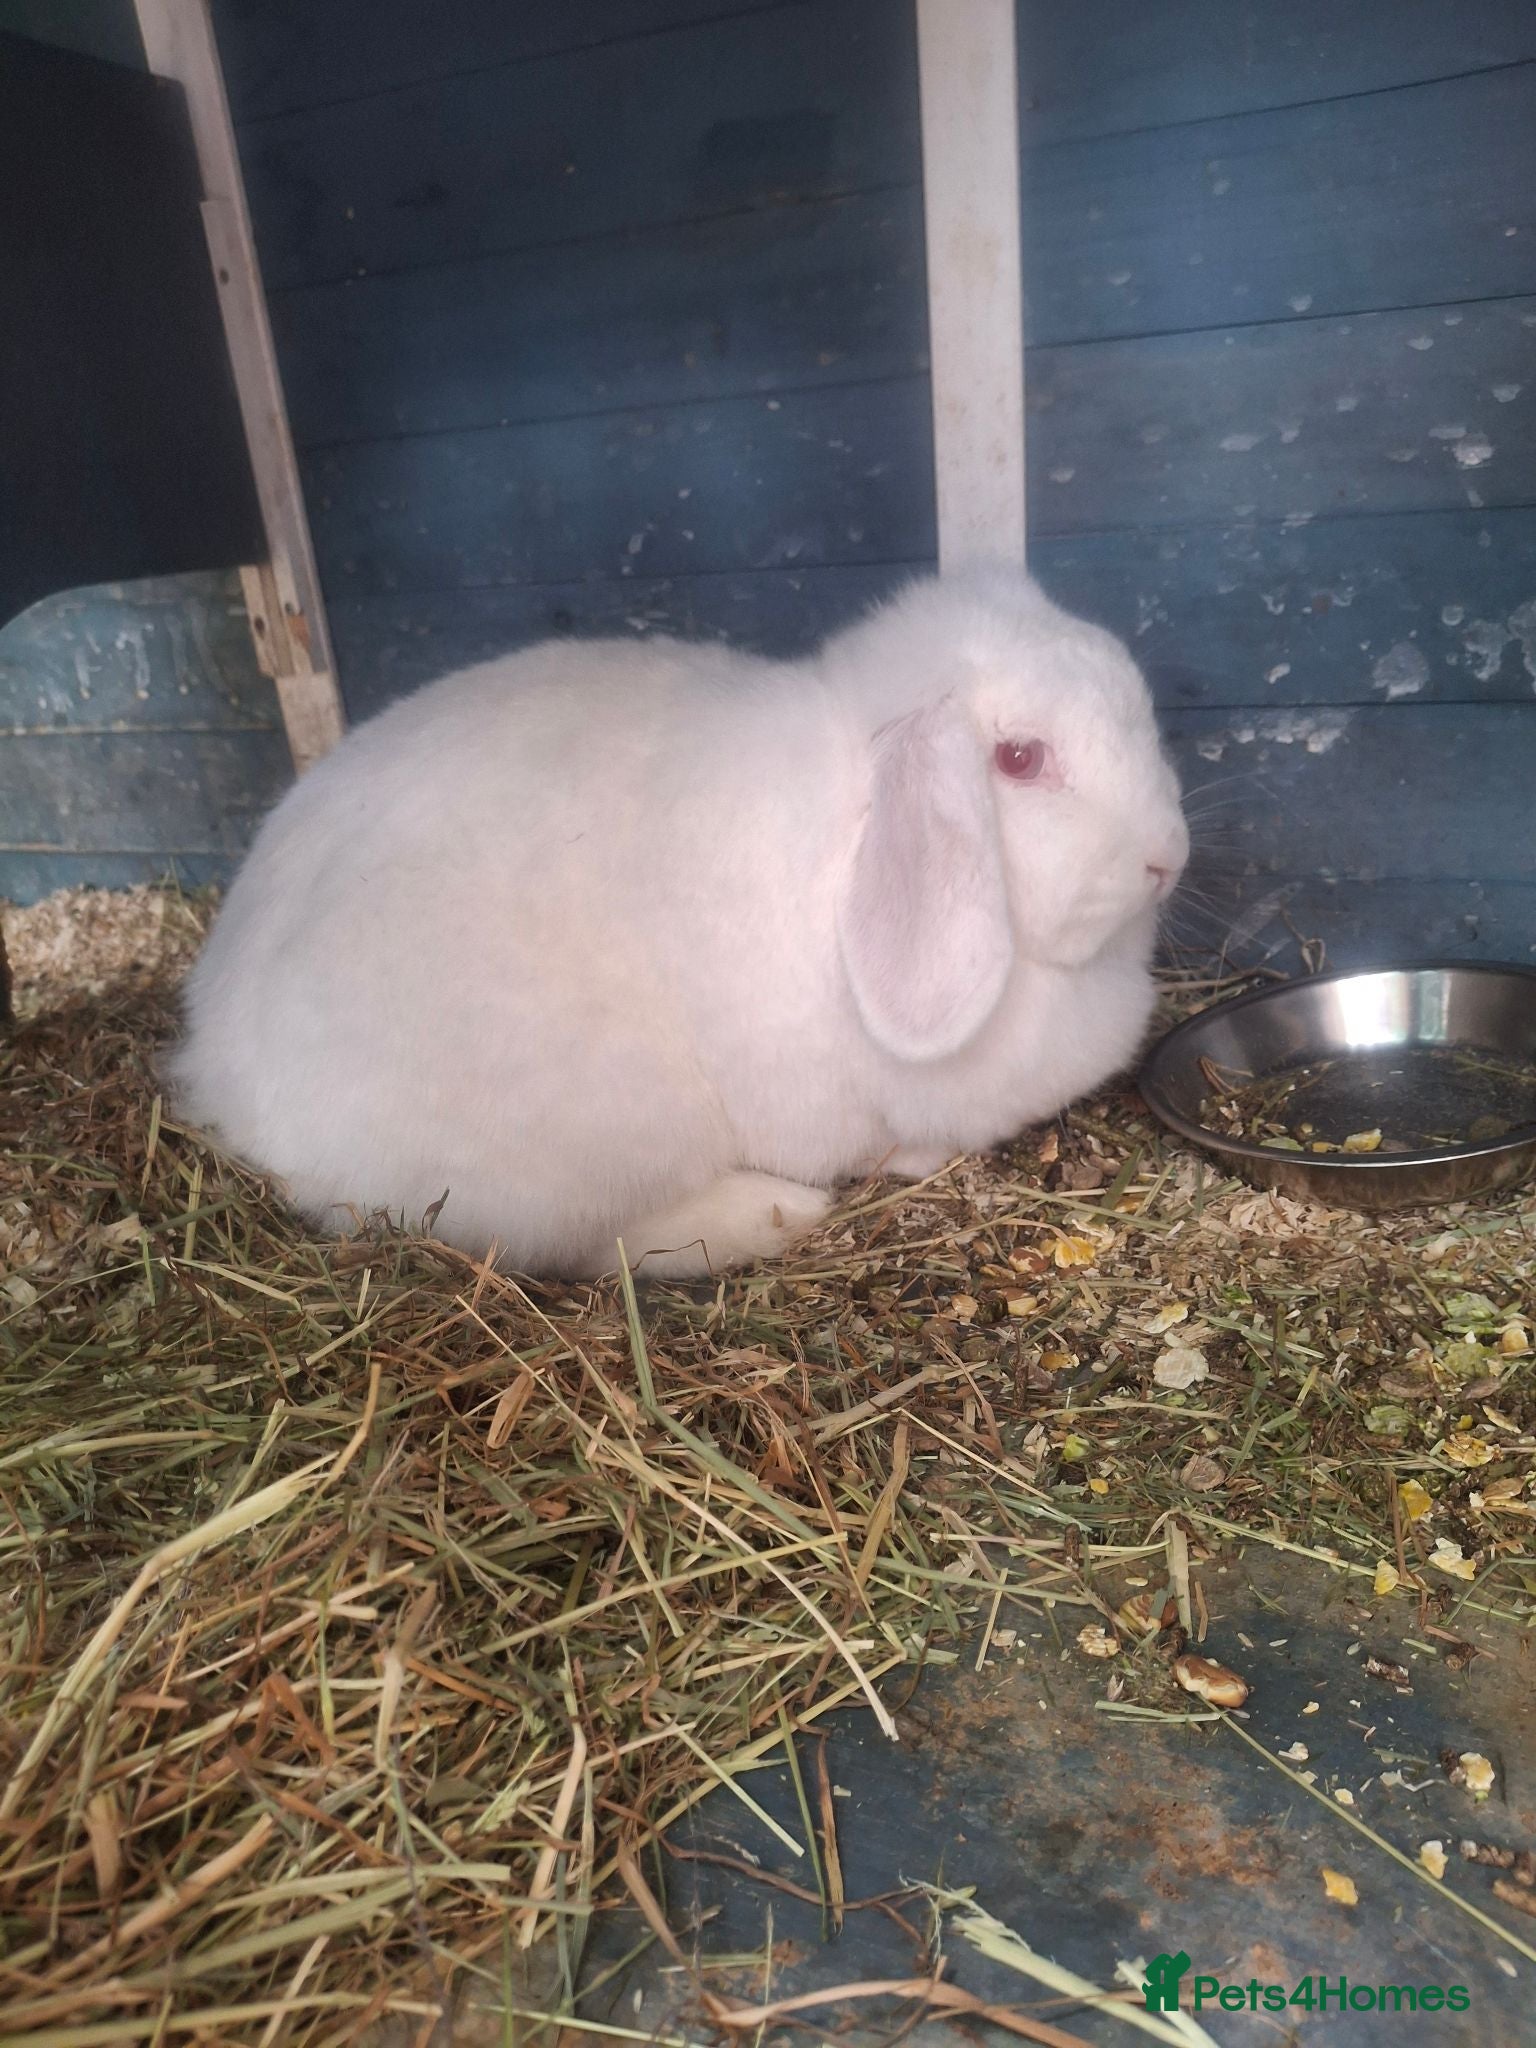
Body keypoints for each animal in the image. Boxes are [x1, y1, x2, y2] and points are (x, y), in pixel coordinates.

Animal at [169, 565, 1188, 1281]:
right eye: (1018, 759)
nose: (1168, 855)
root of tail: (216, 1073)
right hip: (591, 1133)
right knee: (585, 1249)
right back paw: (773, 1215)